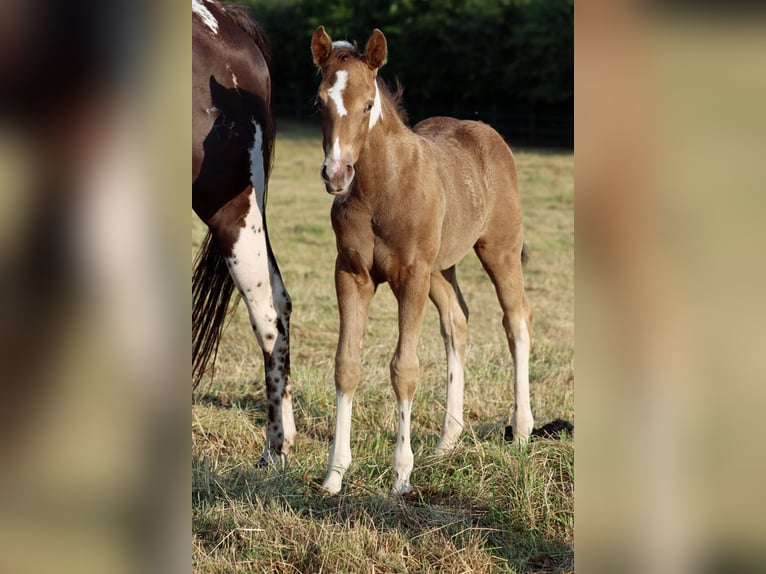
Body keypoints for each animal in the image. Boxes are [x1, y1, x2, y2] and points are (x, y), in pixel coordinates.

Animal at [311, 27, 534, 494]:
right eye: (319, 102)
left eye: (368, 104)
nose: (336, 174)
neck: (382, 190)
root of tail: (487, 134)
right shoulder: (351, 275)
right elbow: (346, 365)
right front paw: (335, 474)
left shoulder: (410, 277)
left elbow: (404, 368)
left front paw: (401, 476)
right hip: (440, 268)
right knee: (457, 322)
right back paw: (448, 440)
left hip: (499, 249)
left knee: (516, 320)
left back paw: (522, 430)